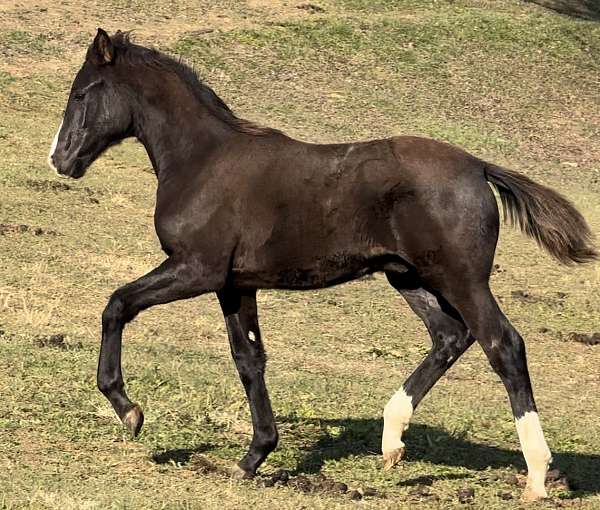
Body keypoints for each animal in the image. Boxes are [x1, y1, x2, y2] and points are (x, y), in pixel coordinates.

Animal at [48, 28, 596, 502]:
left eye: (82, 92)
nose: (60, 159)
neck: (203, 161)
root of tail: (479, 166)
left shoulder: (195, 269)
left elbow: (118, 304)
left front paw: (129, 410)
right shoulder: (234, 284)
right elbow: (249, 360)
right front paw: (253, 457)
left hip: (461, 279)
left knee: (503, 345)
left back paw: (536, 477)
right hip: (409, 277)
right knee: (450, 337)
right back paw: (392, 440)